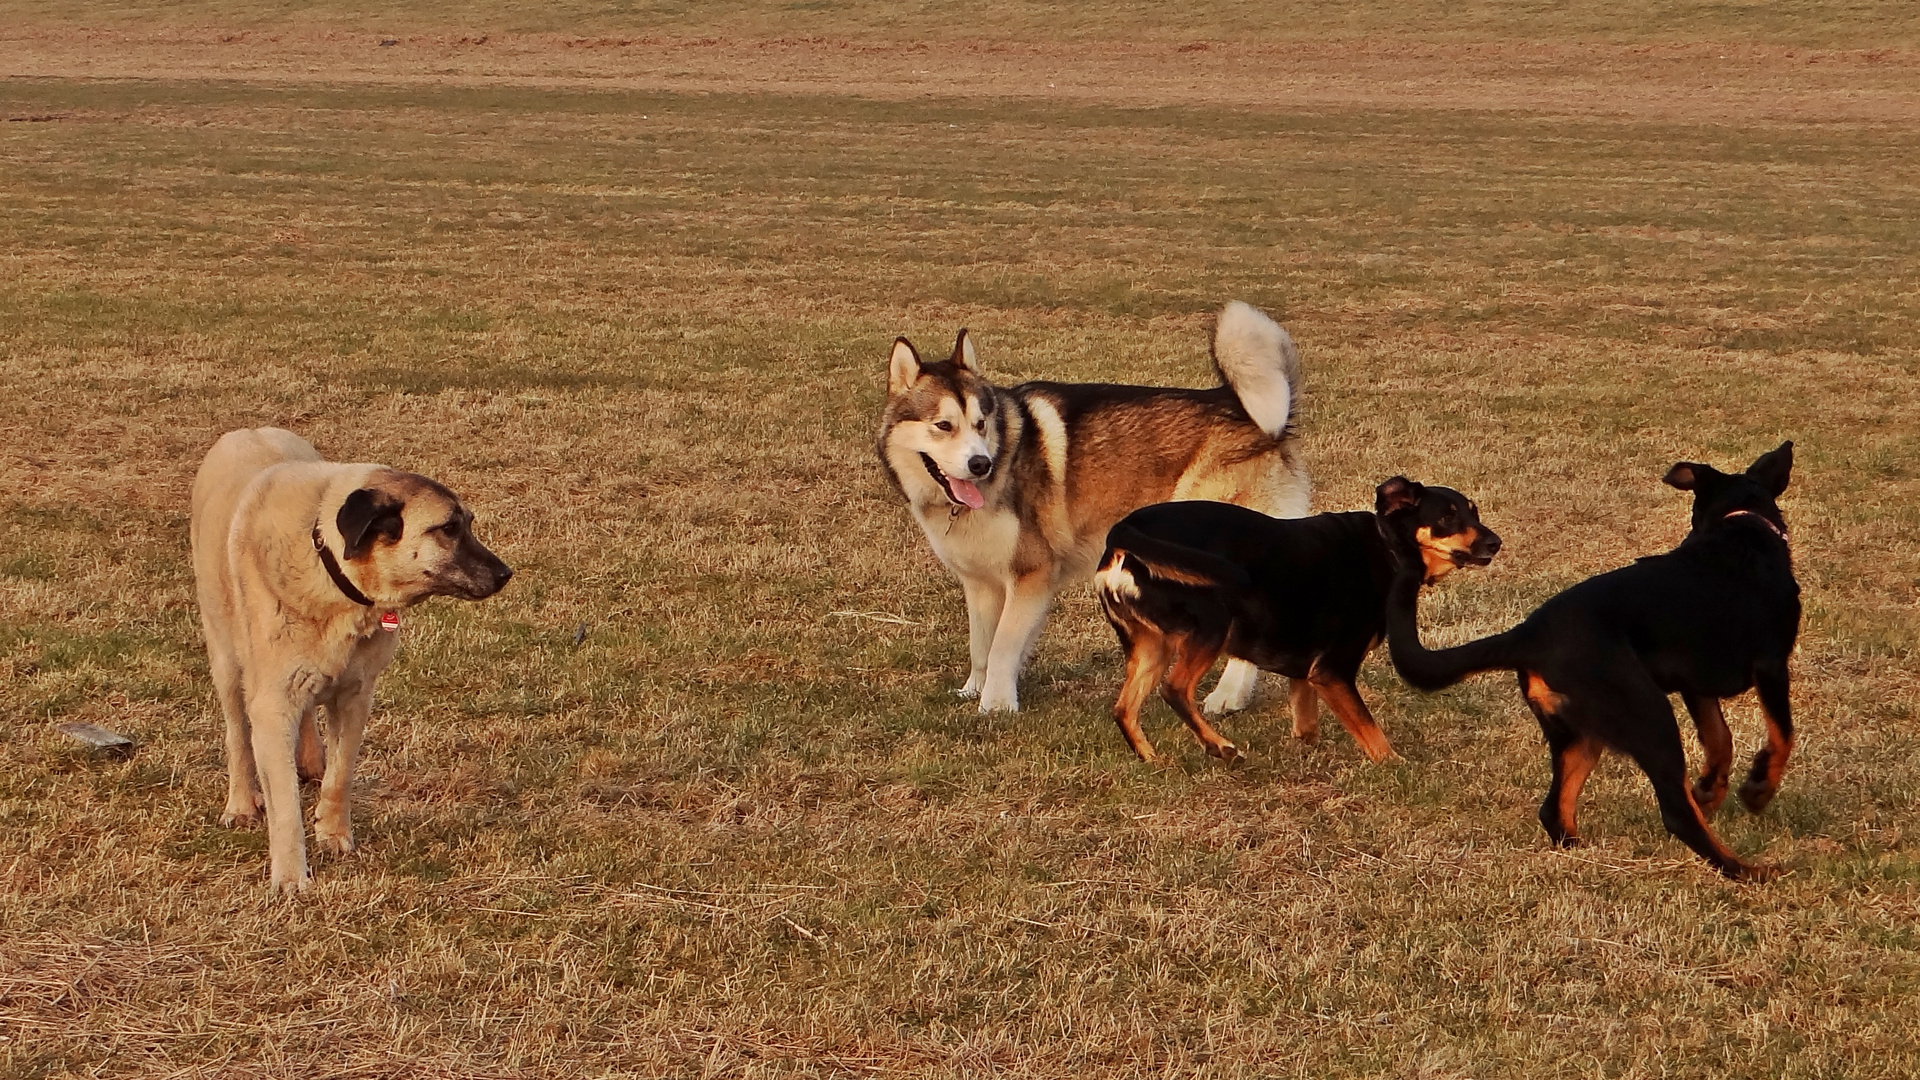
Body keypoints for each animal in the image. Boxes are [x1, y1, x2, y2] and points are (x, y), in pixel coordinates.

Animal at [188, 424, 514, 887]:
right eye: (448, 528)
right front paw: (291, 876)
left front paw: (333, 834)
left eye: (467, 524)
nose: (506, 574)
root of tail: (246, 431)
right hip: (226, 658)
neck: (330, 567)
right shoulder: (272, 705)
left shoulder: (355, 695)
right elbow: (284, 800)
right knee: (237, 734)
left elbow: (340, 775)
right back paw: (241, 802)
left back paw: (309, 759)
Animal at [879, 297, 1313, 711]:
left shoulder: (1032, 575)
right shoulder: (982, 584)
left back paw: (1227, 696)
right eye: (943, 426)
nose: (980, 463)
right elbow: (982, 647)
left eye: (981, 423)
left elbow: (1002, 646)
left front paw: (996, 706)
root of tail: (1247, 412)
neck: (1005, 457)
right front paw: (975, 691)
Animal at [1098, 474, 1497, 760]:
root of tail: (1125, 530)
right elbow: (1371, 731)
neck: (1388, 546)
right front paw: (1396, 765)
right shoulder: (1332, 670)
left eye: (1473, 512)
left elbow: (1307, 721)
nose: (1496, 543)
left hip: (1151, 646)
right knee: (1175, 689)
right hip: (1211, 625)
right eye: (1447, 516)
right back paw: (1221, 747)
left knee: (1123, 708)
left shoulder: (1306, 670)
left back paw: (1152, 760)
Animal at [1382, 441, 1797, 880]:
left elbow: (1720, 739)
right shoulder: (1771, 665)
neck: (1741, 525)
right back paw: (1746, 870)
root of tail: (1528, 634)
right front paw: (1757, 790)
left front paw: (1710, 790)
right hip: (1649, 717)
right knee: (1675, 813)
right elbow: (1782, 734)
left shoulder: (1695, 685)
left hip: (1580, 735)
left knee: (1554, 810)